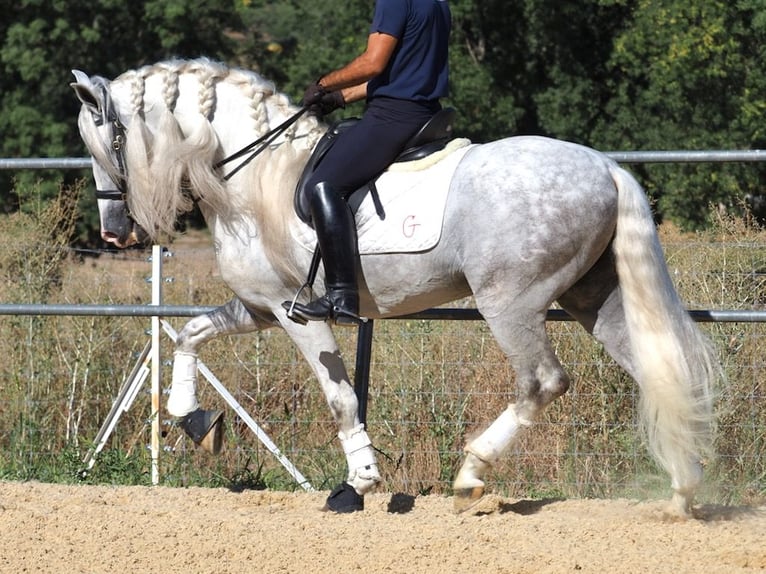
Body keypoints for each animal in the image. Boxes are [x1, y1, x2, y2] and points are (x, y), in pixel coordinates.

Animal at [72, 58, 720, 516]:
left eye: (105, 143)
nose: (112, 233)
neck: (252, 176)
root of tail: (605, 168)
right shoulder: (258, 306)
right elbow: (190, 334)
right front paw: (195, 423)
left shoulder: (294, 311)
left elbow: (340, 397)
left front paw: (357, 484)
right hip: (593, 297)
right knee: (656, 368)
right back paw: (683, 491)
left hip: (509, 301)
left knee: (543, 381)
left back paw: (472, 475)